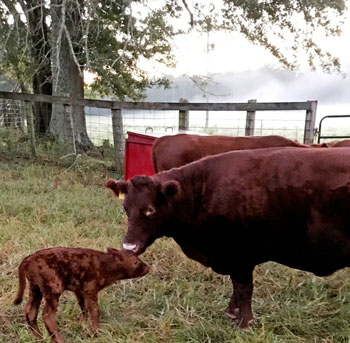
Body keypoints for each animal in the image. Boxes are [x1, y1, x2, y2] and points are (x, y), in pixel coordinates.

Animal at [13, 247, 148, 343]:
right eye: (136, 262)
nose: (147, 268)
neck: (105, 265)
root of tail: (27, 260)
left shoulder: (79, 291)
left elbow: (84, 310)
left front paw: (86, 329)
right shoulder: (90, 290)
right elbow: (94, 311)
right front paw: (96, 333)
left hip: (35, 288)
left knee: (30, 311)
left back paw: (40, 338)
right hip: (53, 288)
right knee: (47, 315)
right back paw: (59, 340)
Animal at [105, 148, 350, 330]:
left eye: (150, 210)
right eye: (126, 208)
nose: (129, 246)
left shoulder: (240, 255)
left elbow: (244, 288)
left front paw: (245, 323)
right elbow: (236, 288)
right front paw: (231, 313)